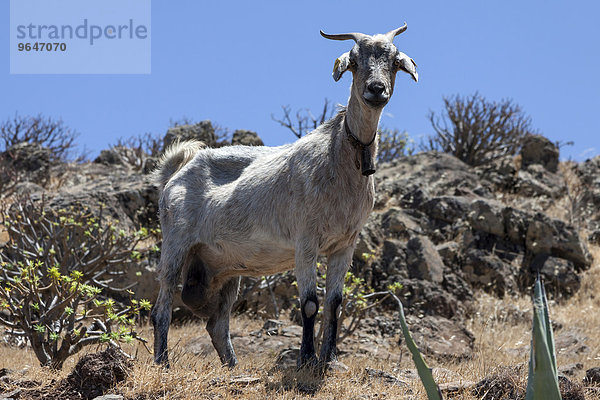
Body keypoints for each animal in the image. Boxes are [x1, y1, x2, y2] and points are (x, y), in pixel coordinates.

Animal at [152, 24, 418, 368]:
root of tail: (175, 173)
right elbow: (309, 303)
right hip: (176, 244)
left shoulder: (345, 244)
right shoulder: (306, 240)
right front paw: (306, 358)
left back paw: (233, 367)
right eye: (355, 61)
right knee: (162, 310)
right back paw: (163, 362)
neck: (339, 157)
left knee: (217, 324)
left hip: (225, 267)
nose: (376, 90)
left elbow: (334, 304)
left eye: (395, 61)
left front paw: (330, 359)